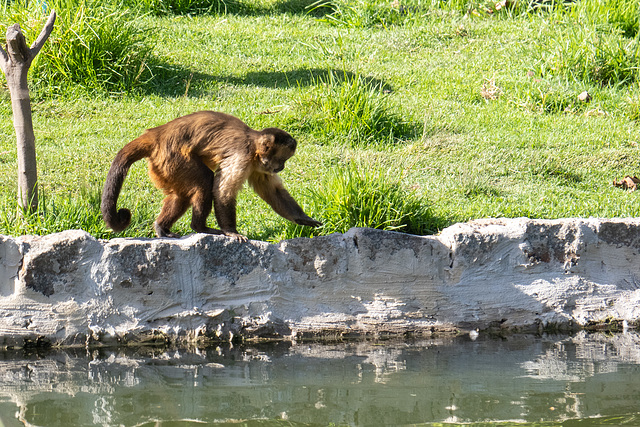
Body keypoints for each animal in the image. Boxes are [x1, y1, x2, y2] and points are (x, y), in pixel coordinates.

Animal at [102, 111, 322, 241]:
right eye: (282, 159)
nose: (281, 167)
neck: (253, 148)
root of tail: (156, 134)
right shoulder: (242, 155)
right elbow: (223, 192)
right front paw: (231, 231)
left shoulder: (259, 167)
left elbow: (273, 192)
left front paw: (303, 219)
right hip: (172, 156)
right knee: (204, 182)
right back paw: (200, 227)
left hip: (163, 166)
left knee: (181, 194)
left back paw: (162, 228)